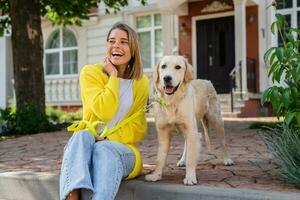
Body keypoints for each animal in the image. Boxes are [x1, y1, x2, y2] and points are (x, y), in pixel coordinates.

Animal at [145, 55, 234, 185]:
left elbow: (191, 158)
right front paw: (156, 175)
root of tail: (207, 80)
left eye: (178, 67)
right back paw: (182, 160)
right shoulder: (163, 132)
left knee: (223, 142)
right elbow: (160, 158)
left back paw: (227, 159)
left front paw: (190, 177)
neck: (172, 102)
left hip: (216, 120)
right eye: (163, 66)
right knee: (187, 144)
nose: (167, 78)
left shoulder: (192, 131)